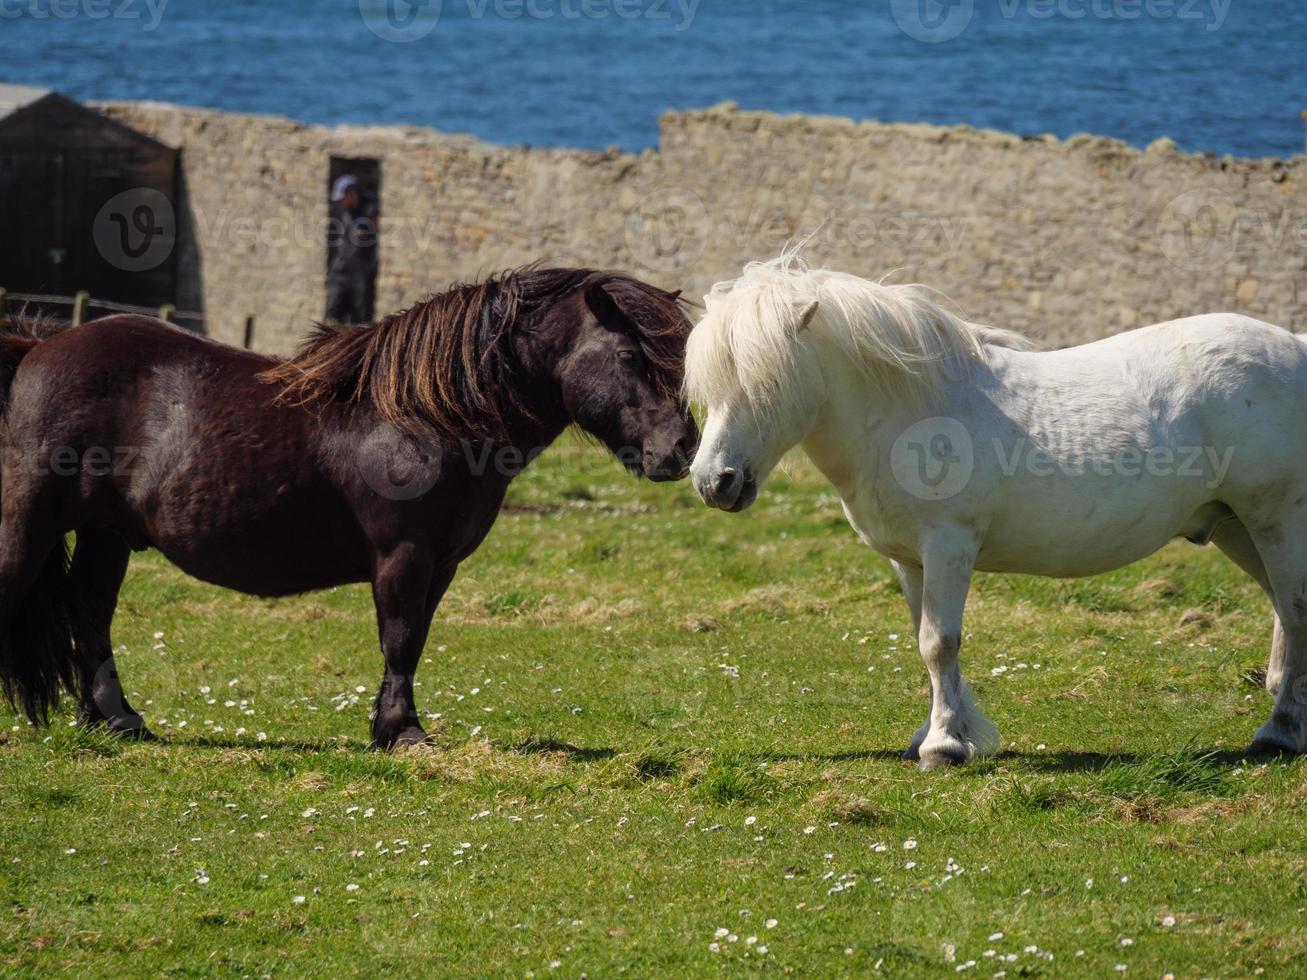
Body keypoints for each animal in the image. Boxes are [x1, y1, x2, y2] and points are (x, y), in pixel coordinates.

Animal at [0, 265, 700, 747]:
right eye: (630, 355)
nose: (682, 449)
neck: (427, 416)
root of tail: (38, 350)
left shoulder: (440, 564)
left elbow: (414, 641)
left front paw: (392, 727)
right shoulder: (402, 556)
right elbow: (399, 637)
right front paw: (402, 732)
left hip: (105, 533)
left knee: (91, 614)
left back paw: (114, 719)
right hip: (30, 524)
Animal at [690, 250, 1301, 768]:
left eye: (766, 381)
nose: (714, 482)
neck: (911, 411)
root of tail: (1295, 347)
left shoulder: (949, 544)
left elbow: (939, 642)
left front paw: (943, 746)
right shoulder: (908, 560)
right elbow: (923, 642)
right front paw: (942, 732)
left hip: (1276, 520)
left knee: (1294, 610)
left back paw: (1279, 733)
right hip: (1236, 527)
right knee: (1284, 607)